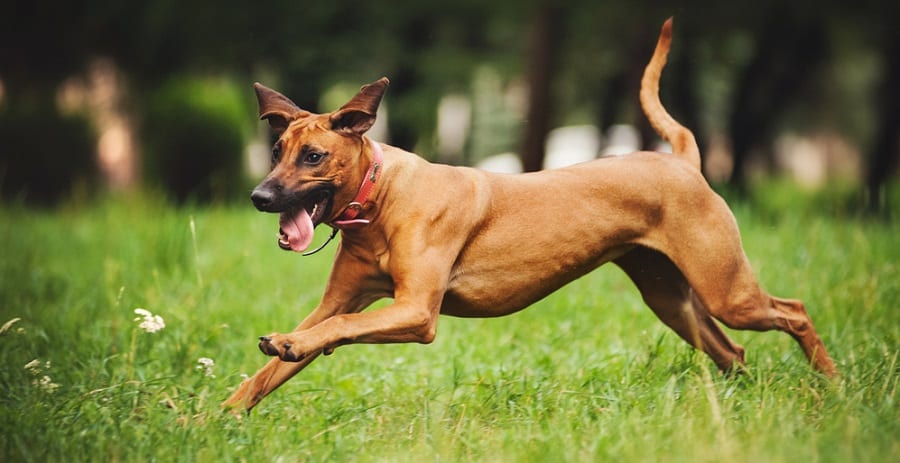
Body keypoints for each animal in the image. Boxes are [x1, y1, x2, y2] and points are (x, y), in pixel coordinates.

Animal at [223, 18, 836, 414]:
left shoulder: (416, 311)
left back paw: (831, 384)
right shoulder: (338, 301)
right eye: (275, 152)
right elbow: (279, 363)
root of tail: (682, 159)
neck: (380, 198)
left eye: (313, 157)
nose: (258, 196)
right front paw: (219, 416)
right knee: (733, 351)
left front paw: (291, 347)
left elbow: (336, 331)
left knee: (795, 312)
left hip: (725, 289)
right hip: (673, 299)